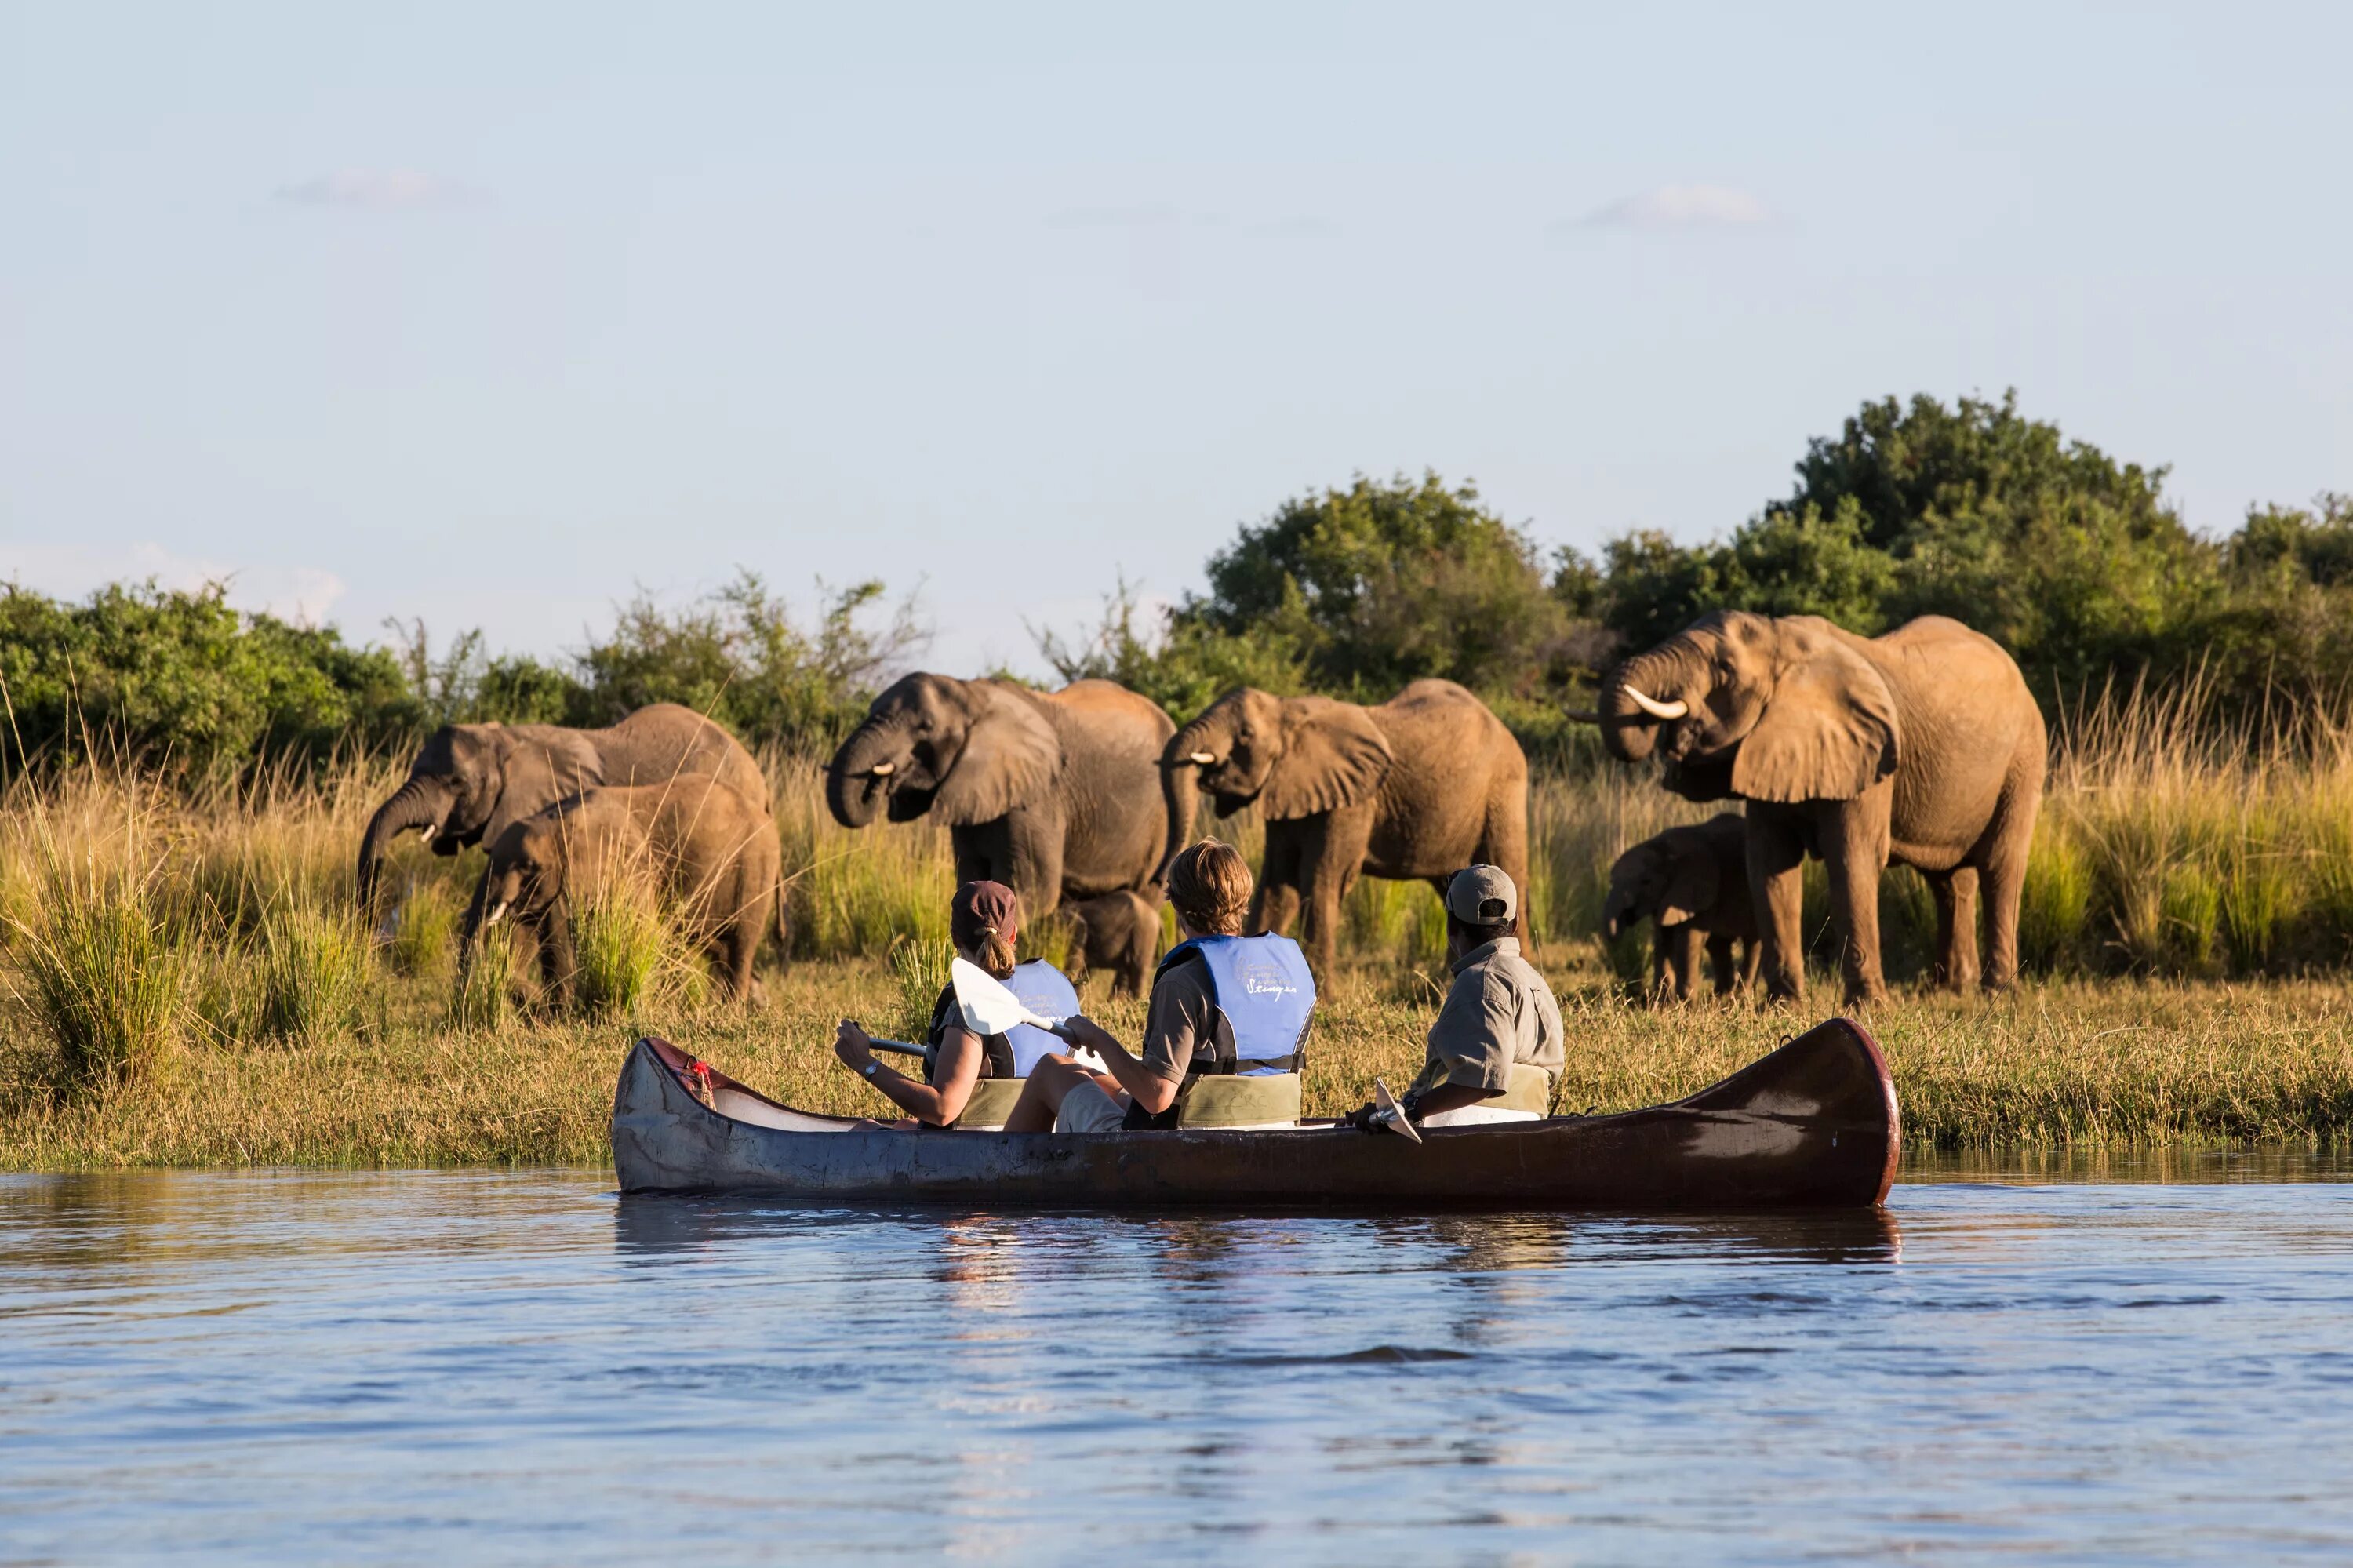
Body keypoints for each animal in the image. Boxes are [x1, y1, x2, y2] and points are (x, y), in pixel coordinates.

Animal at [482, 767, 786, 1002]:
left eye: (529, 867)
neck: (557, 819)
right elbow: (528, 930)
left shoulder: (630, 865)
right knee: (716, 945)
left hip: (756, 866)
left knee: (742, 943)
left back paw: (733, 1007)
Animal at [1600, 809, 1769, 993]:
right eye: (1611, 881)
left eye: (1646, 882)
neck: (1664, 849)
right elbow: (1663, 940)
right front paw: (1662, 1000)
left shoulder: (1698, 893)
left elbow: (1688, 939)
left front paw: (1685, 1000)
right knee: (1719, 944)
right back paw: (1722, 996)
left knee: (1752, 942)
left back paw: (1740, 995)